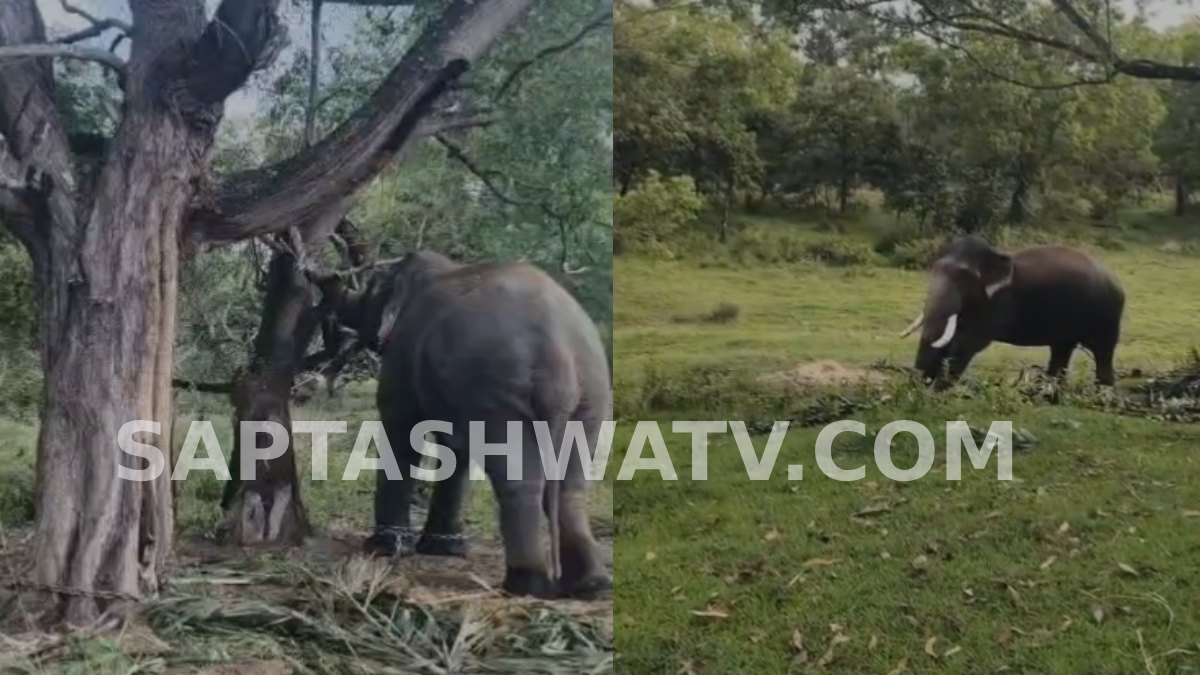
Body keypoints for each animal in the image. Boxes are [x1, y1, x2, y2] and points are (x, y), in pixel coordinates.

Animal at [358, 250, 612, 600]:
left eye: (371, 292)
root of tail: (557, 352)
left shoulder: (403, 355)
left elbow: (401, 428)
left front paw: (384, 547)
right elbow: (454, 448)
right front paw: (443, 549)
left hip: (499, 384)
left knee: (520, 478)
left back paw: (525, 583)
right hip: (591, 390)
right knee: (570, 485)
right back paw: (591, 586)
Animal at [899, 236, 1125, 386]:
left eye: (963, 279)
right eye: (933, 270)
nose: (920, 382)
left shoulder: (996, 305)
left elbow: (967, 344)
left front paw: (935, 392)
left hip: (1106, 315)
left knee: (1102, 353)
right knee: (1062, 350)